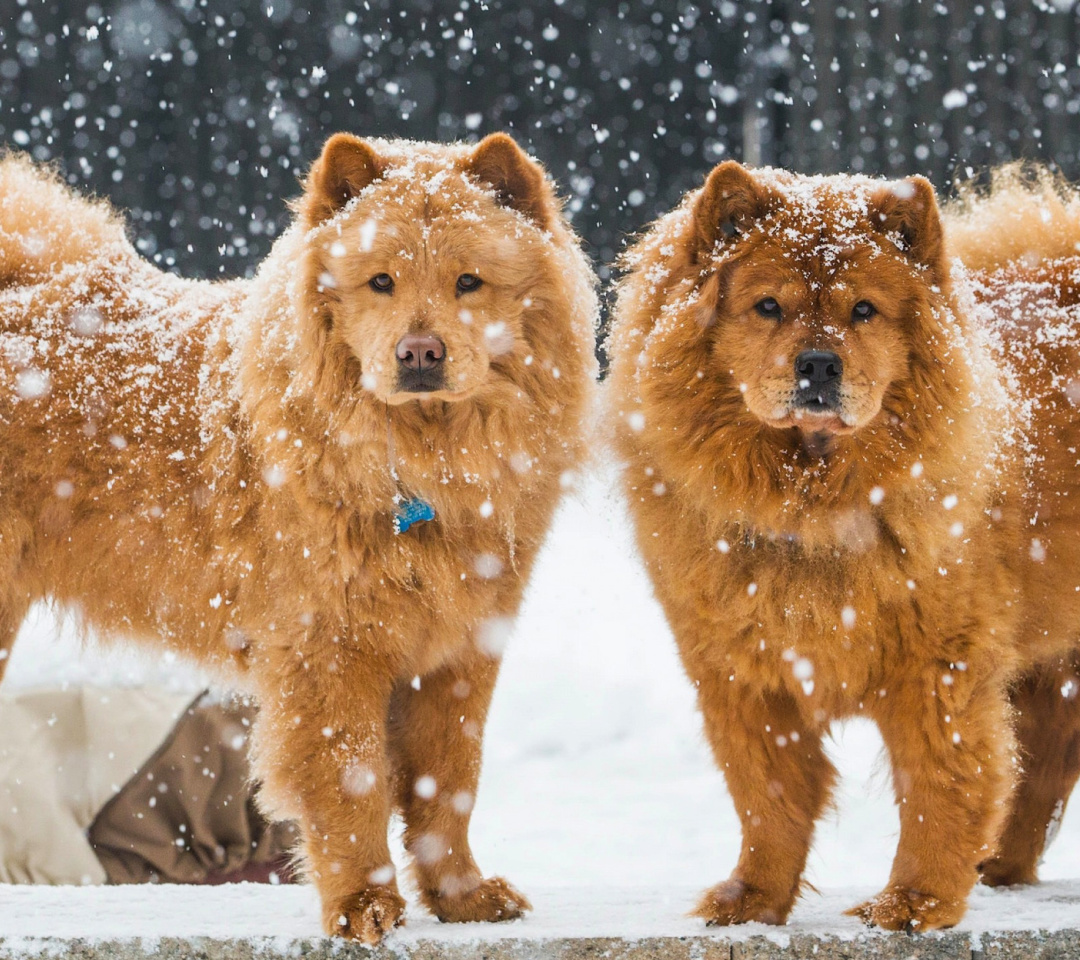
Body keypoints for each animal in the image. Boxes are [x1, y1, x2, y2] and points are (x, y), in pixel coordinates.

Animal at [0, 131, 600, 941]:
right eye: (380, 282)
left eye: (468, 282)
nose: (420, 351)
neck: (422, 463)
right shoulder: (329, 648)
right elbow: (352, 783)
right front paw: (363, 908)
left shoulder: (460, 651)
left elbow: (448, 787)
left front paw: (463, 897)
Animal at [609, 160, 1080, 933]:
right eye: (768, 306)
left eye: (864, 310)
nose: (820, 364)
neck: (812, 502)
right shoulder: (740, 672)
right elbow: (768, 796)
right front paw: (751, 900)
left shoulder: (937, 669)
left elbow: (941, 788)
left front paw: (912, 903)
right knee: (1042, 764)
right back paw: (999, 870)